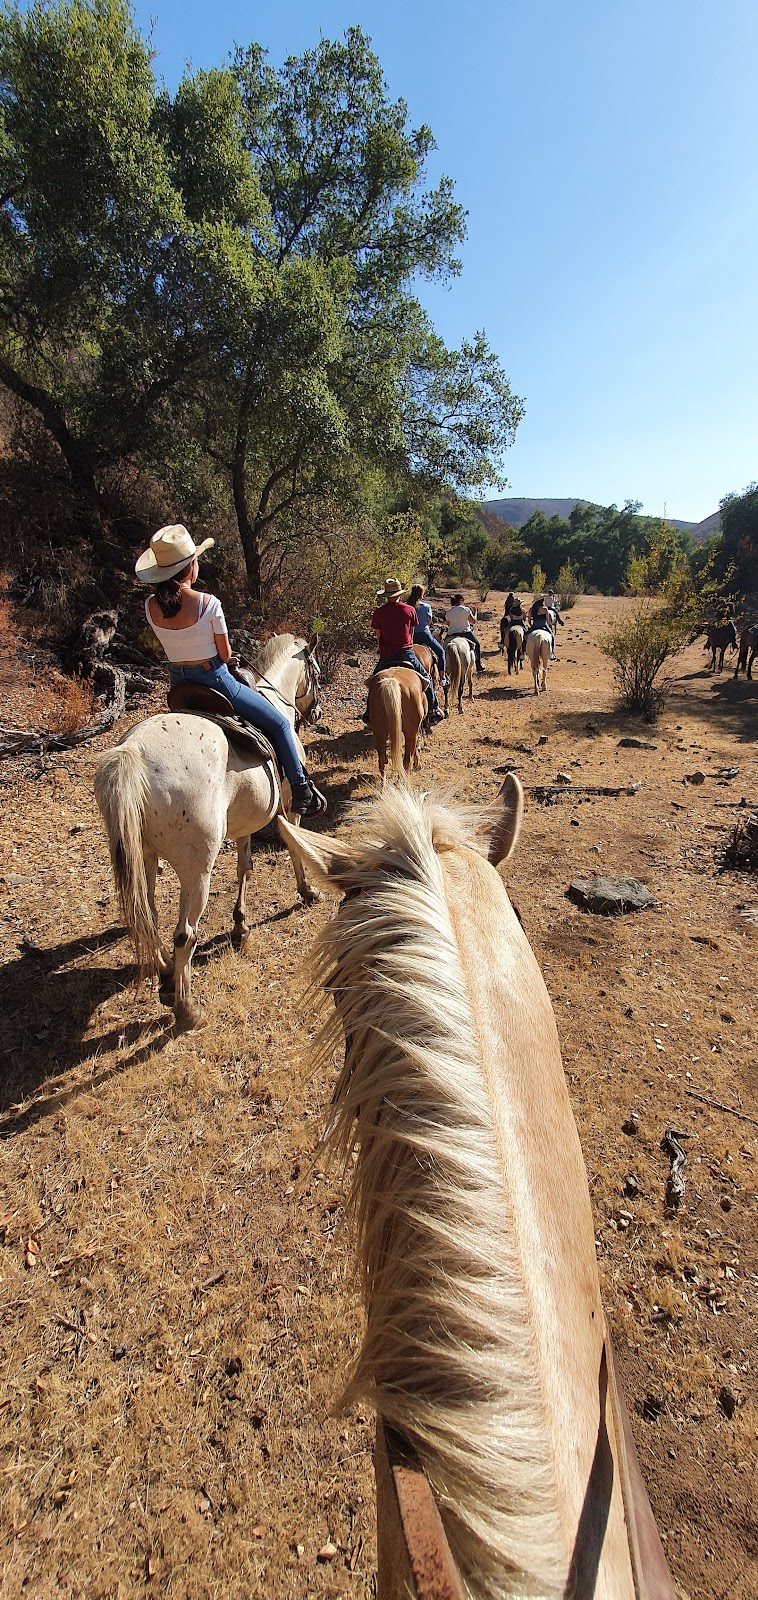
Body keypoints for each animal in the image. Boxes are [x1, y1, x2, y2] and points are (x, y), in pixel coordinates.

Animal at [93, 630, 321, 1030]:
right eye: (317, 673)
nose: (317, 712)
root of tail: (133, 752)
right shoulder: (289, 810)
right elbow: (295, 849)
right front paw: (306, 891)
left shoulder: (247, 820)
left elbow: (245, 867)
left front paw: (240, 926)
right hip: (197, 869)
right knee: (184, 934)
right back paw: (187, 1009)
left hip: (145, 857)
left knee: (150, 915)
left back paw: (166, 974)